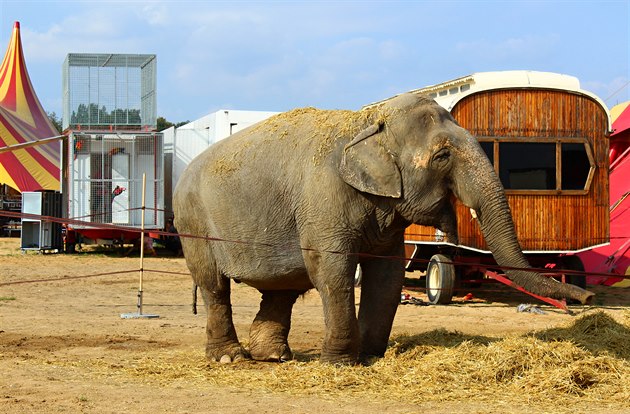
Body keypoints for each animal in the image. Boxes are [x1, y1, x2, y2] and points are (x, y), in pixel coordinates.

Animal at [174, 93, 596, 366]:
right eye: (442, 156)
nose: (588, 298)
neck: (366, 122)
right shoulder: (324, 198)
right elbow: (333, 272)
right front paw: (339, 363)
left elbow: (388, 276)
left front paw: (370, 355)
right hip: (194, 222)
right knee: (214, 285)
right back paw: (230, 358)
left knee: (282, 288)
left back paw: (274, 356)